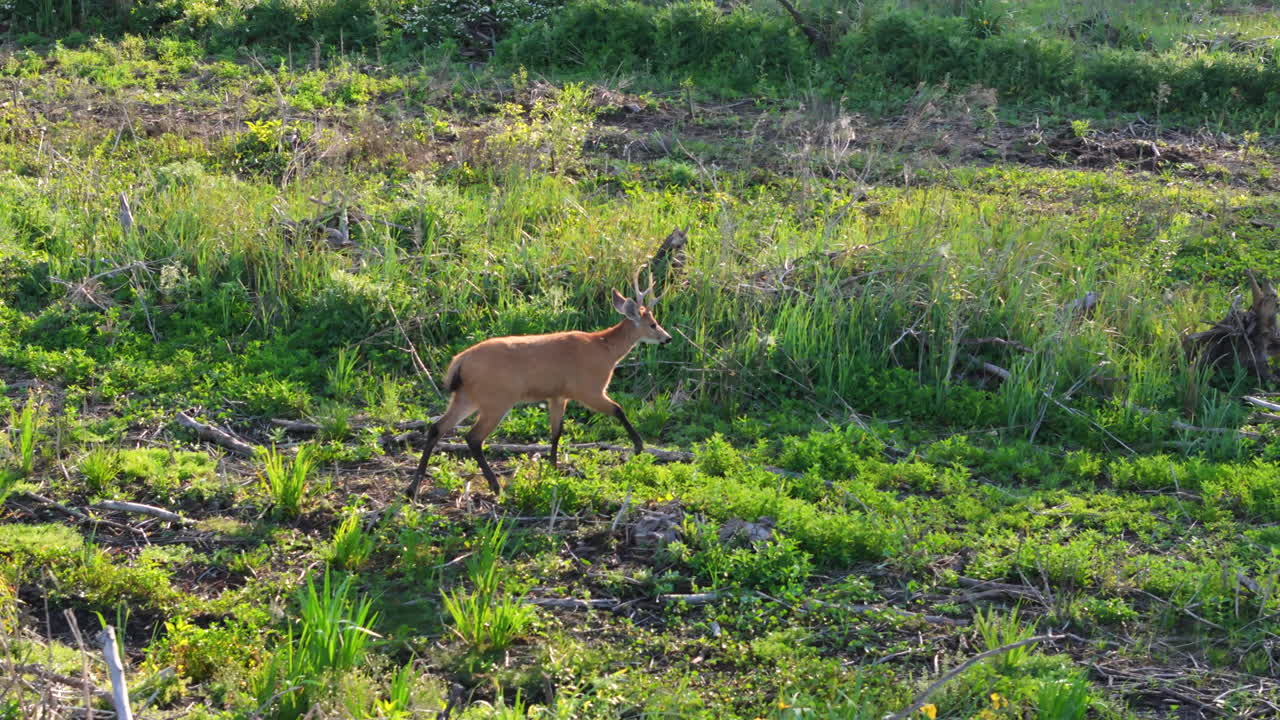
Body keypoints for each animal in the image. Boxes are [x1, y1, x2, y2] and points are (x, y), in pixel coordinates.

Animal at [405, 267, 672, 500]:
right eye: (653, 324)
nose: (667, 338)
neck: (605, 350)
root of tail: (459, 362)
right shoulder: (588, 388)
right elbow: (618, 409)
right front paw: (638, 447)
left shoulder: (558, 395)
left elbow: (556, 432)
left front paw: (553, 468)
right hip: (497, 399)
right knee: (473, 437)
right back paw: (496, 487)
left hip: (466, 396)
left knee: (437, 427)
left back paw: (412, 488)